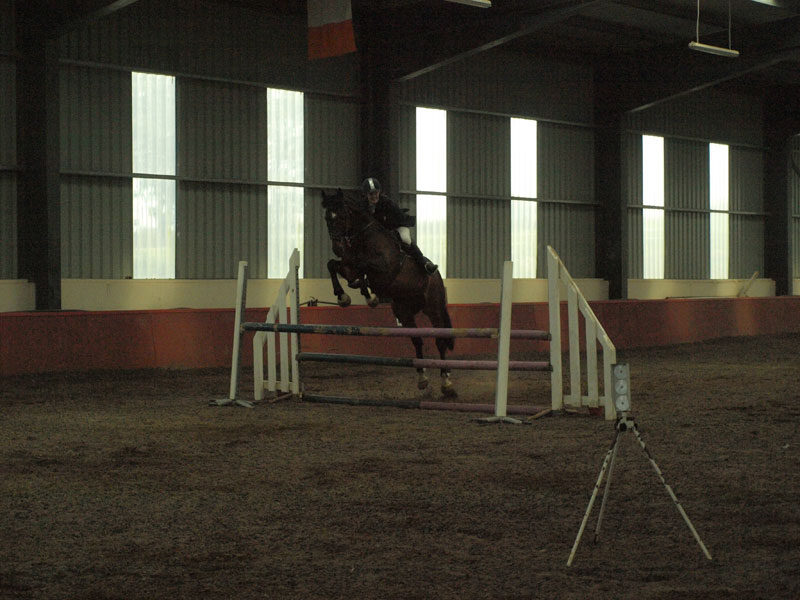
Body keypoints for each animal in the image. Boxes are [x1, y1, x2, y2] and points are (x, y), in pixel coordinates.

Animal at [322, 188, 456, 395]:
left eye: (342, 216)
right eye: (327, 217)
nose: (337, 247)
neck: (365, 238)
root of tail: (438, 277)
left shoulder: (385, 269)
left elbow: (362, 266)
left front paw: (366, 294)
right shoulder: (349, 266)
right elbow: (334, 265)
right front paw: (344, 296)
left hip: (433, 308)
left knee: (440, 340)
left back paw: (446, 381)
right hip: (404, 311)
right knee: (417, 341)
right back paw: (422, 379)